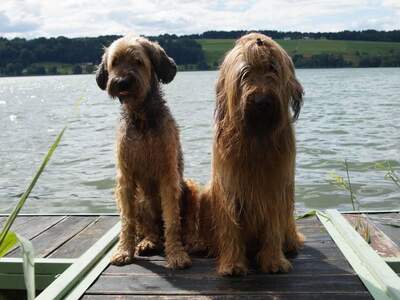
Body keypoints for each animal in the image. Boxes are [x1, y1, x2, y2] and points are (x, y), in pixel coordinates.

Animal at [95, 35, 192, 270]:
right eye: (114, 63)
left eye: (138, 61)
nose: (122, 82)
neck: (141, 116)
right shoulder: (126, 178)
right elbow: (126, 221)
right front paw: (123, 251)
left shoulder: (168, 176)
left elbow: (172, 220)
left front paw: (176, 254)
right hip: (139, 200)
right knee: (148, 228)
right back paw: (147, 242)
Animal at [205, 32, 304, 274]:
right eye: (245, 73)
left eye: (272, 68)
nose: (261, 101)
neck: (257, 136)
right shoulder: (229, 188)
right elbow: (230, 226)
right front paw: (232, 264)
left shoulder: (275, 188)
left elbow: (273, 225)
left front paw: (274, 261)